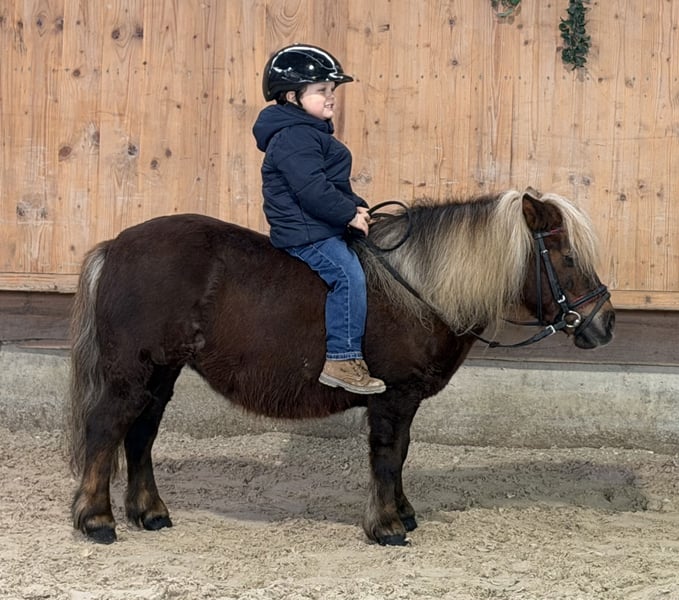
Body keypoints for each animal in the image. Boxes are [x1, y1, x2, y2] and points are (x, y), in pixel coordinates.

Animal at [66, 188, 614, 546]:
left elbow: (402, 455)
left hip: (161, 373)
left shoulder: (404, 400)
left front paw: (402, 513)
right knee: (105, 429)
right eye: (566, 256)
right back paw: (96, 520)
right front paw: (387, 525)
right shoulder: (393, 396)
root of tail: (115, 246)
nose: (605, 322)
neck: (420, 289)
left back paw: (149, 513)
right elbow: (388, 456)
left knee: (140, 436)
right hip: (131, 372)